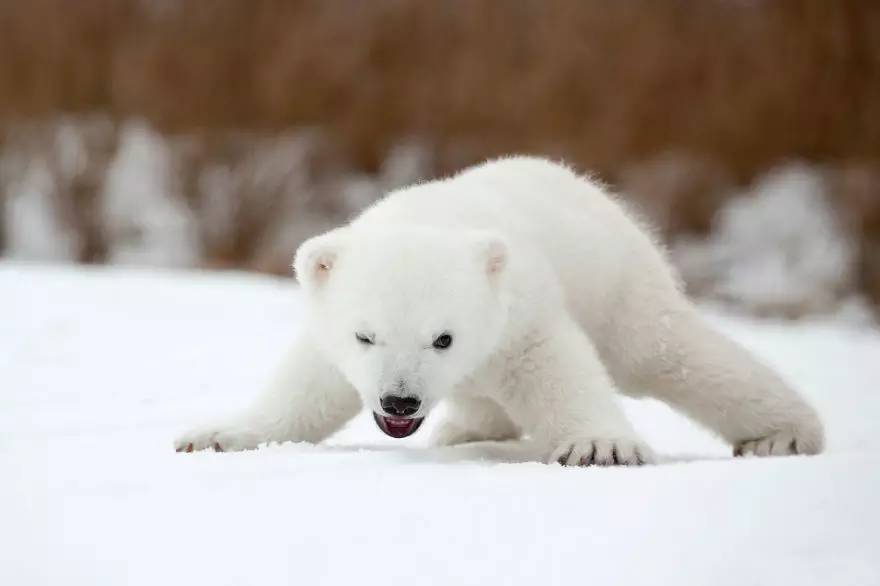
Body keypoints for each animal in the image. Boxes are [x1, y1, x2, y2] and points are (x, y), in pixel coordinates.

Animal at [177, 156, 824, 466]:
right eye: (365, 336)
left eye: (443, 338)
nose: (399, 401)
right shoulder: (333, 332)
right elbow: (308, 387)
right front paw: (215, 436)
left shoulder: (521, 314)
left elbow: (558, 369)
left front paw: (600, 448)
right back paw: (467, 429)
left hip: (620, 284)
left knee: (670, 354)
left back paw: (783, 435)